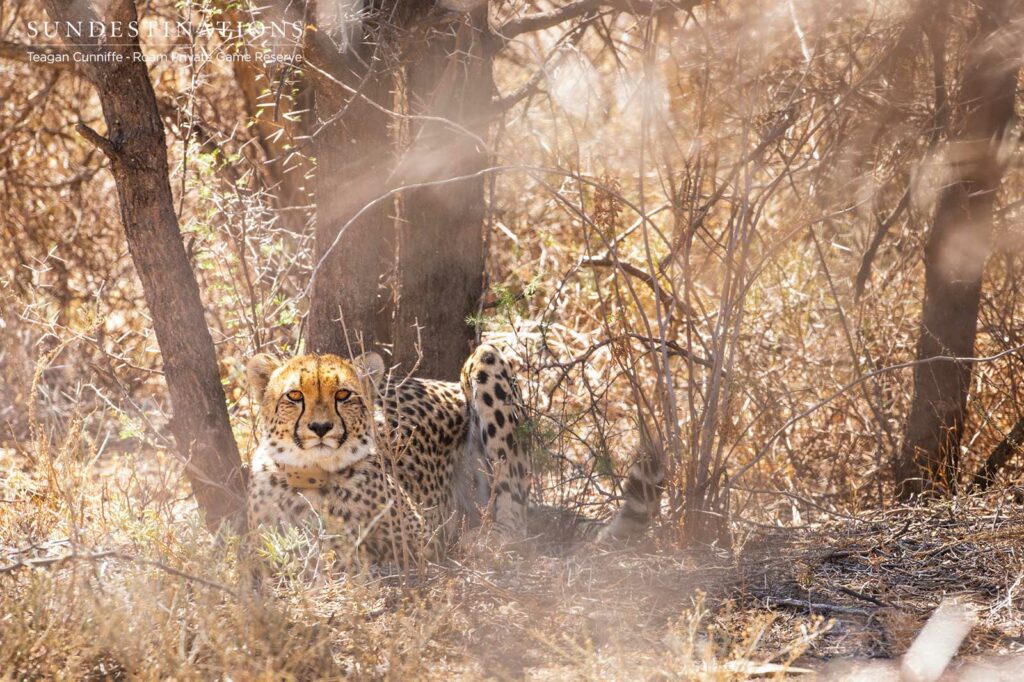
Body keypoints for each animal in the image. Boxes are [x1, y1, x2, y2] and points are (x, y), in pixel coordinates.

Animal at [246, 344, 663, 566]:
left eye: (343, 395)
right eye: (294, 395)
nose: (320, 428)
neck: (312, 475)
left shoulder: (420, 539)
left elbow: (350, 546)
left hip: (485, 360)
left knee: (514, 520)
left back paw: (484, 541)